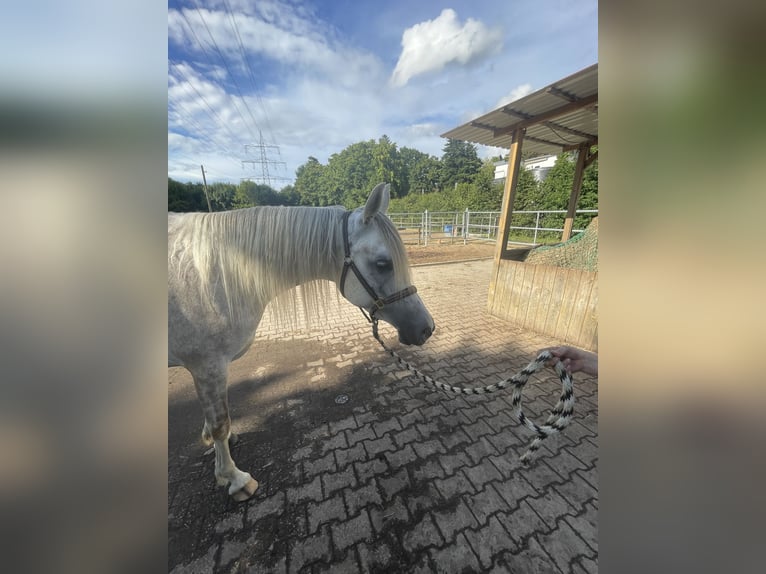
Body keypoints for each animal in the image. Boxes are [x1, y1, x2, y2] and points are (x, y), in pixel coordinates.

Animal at [168, 183, 435, 501]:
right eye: (383, 263)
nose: (426, 328)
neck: (218, 274)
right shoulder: (208, 365)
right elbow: (220, 423)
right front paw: (234, 478)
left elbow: (216, 420)